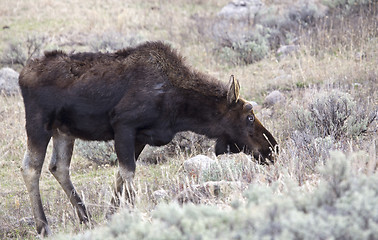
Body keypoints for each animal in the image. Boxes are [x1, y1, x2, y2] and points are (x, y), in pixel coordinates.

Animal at [17, 41, 278, 236]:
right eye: (250, 116)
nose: (272, 148)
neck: (178, 108)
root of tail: (22, 75)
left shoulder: (140, 136)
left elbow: (120, 177)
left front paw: (111, 217)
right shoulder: (123, 125)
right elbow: (128, 174)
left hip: (63, 131)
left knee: (58, 167)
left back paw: (85, 218)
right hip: (39, 124)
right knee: (31, 168)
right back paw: (44, 226)